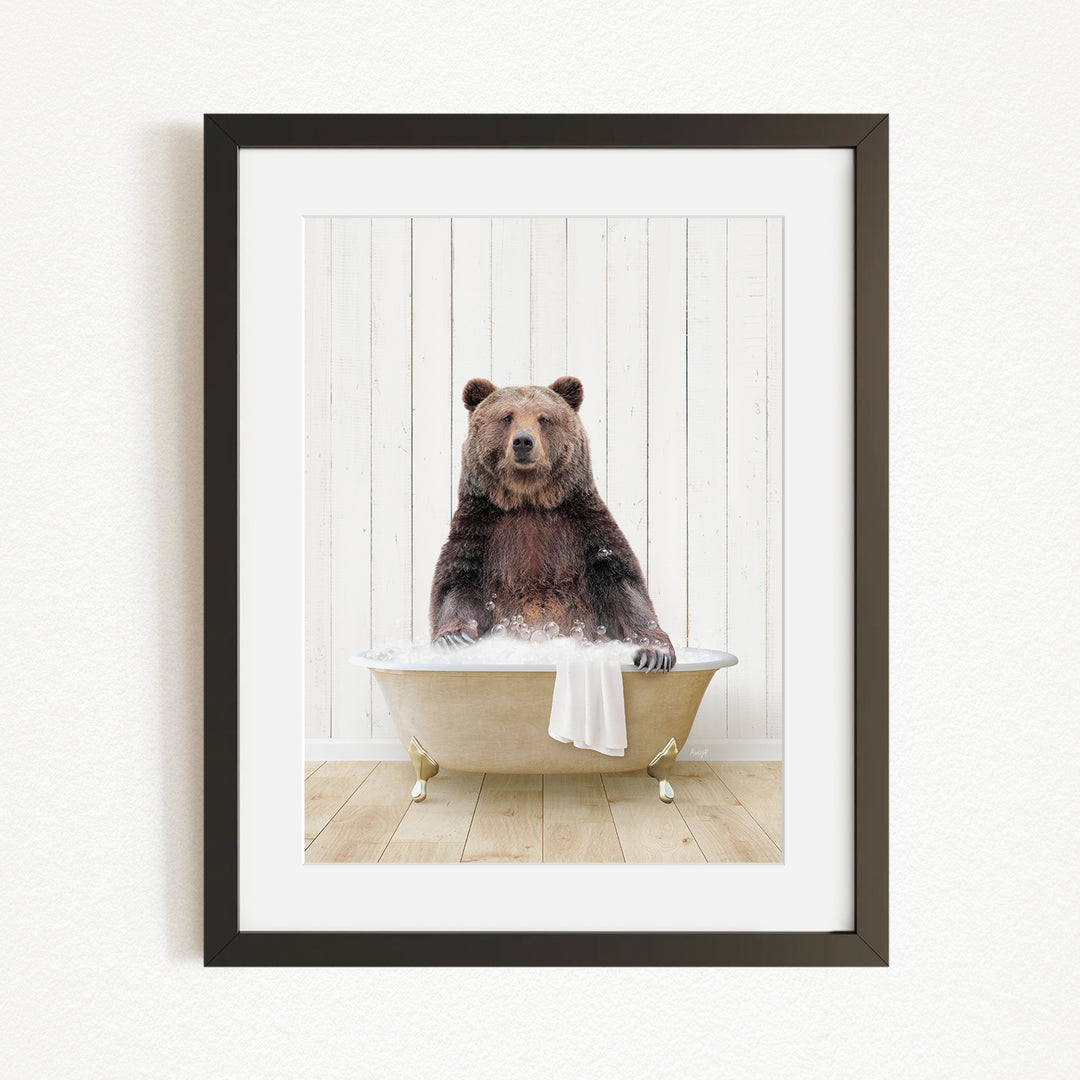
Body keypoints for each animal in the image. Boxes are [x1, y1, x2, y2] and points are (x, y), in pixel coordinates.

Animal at [429, 375, 676, 672]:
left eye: (544, 418)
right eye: (507, 416)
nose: (523, 441)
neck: (529, 500)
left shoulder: (583, 528)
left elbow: (623, 585)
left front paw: (654, 653)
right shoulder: (481, 529)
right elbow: (457, 583)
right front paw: (453, 638)